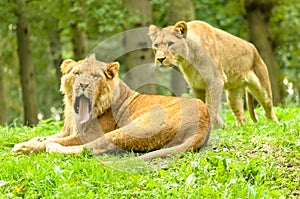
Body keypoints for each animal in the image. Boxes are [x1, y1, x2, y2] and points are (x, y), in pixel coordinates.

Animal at [12, 55, 211, 161]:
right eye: (77, 73)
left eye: (95, 76)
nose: (83, 84)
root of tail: (203, 123)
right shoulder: (68, 130)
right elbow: (48, 136)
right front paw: (35, 139)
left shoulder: (86, 134)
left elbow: (57, 141)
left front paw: (25, 146)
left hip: (132, 128)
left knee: (90, 149)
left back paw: (50, 148)